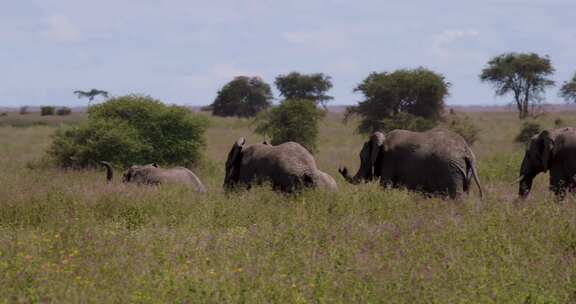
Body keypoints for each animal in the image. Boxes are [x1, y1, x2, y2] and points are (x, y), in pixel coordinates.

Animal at [340, 129, 484, 198]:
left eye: (362, 158)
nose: (342, 168)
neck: (383, 139)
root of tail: (467, 152)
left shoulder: (389, 161)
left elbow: (385, 186)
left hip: (451, 169)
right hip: (465, 171)